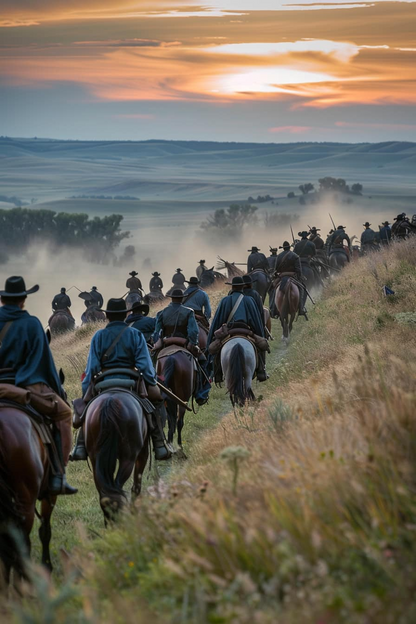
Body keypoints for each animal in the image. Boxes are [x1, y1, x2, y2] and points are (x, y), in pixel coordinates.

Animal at [83, 392, 149, 524]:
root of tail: (110, 402)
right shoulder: (143, 453)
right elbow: (136, 486)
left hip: (95, 460)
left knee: (105, 493)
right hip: (128, 459)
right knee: (118, 487)